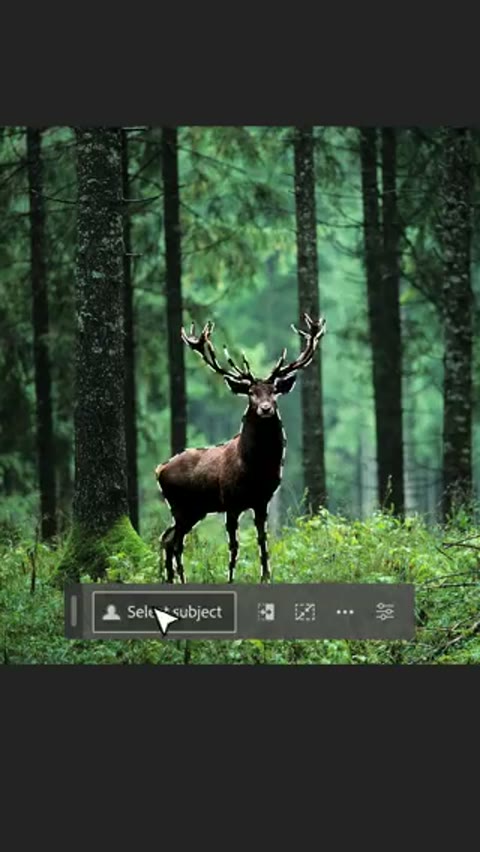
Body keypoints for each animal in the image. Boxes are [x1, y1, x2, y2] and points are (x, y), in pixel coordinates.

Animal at [155, 313, 326, 584]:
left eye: (274, 391)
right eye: (251, 393)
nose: (265, 409)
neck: (255, 468)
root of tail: (159, 470)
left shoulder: (262, 500)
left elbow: (263, 540)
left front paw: (266, 577)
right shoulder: (231, 501)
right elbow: (234, 545)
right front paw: (230, 578)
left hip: (194, 510)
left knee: (168, 538)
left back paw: (172, 579)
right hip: (180, 506)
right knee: (174, 541)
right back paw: (178, 579)